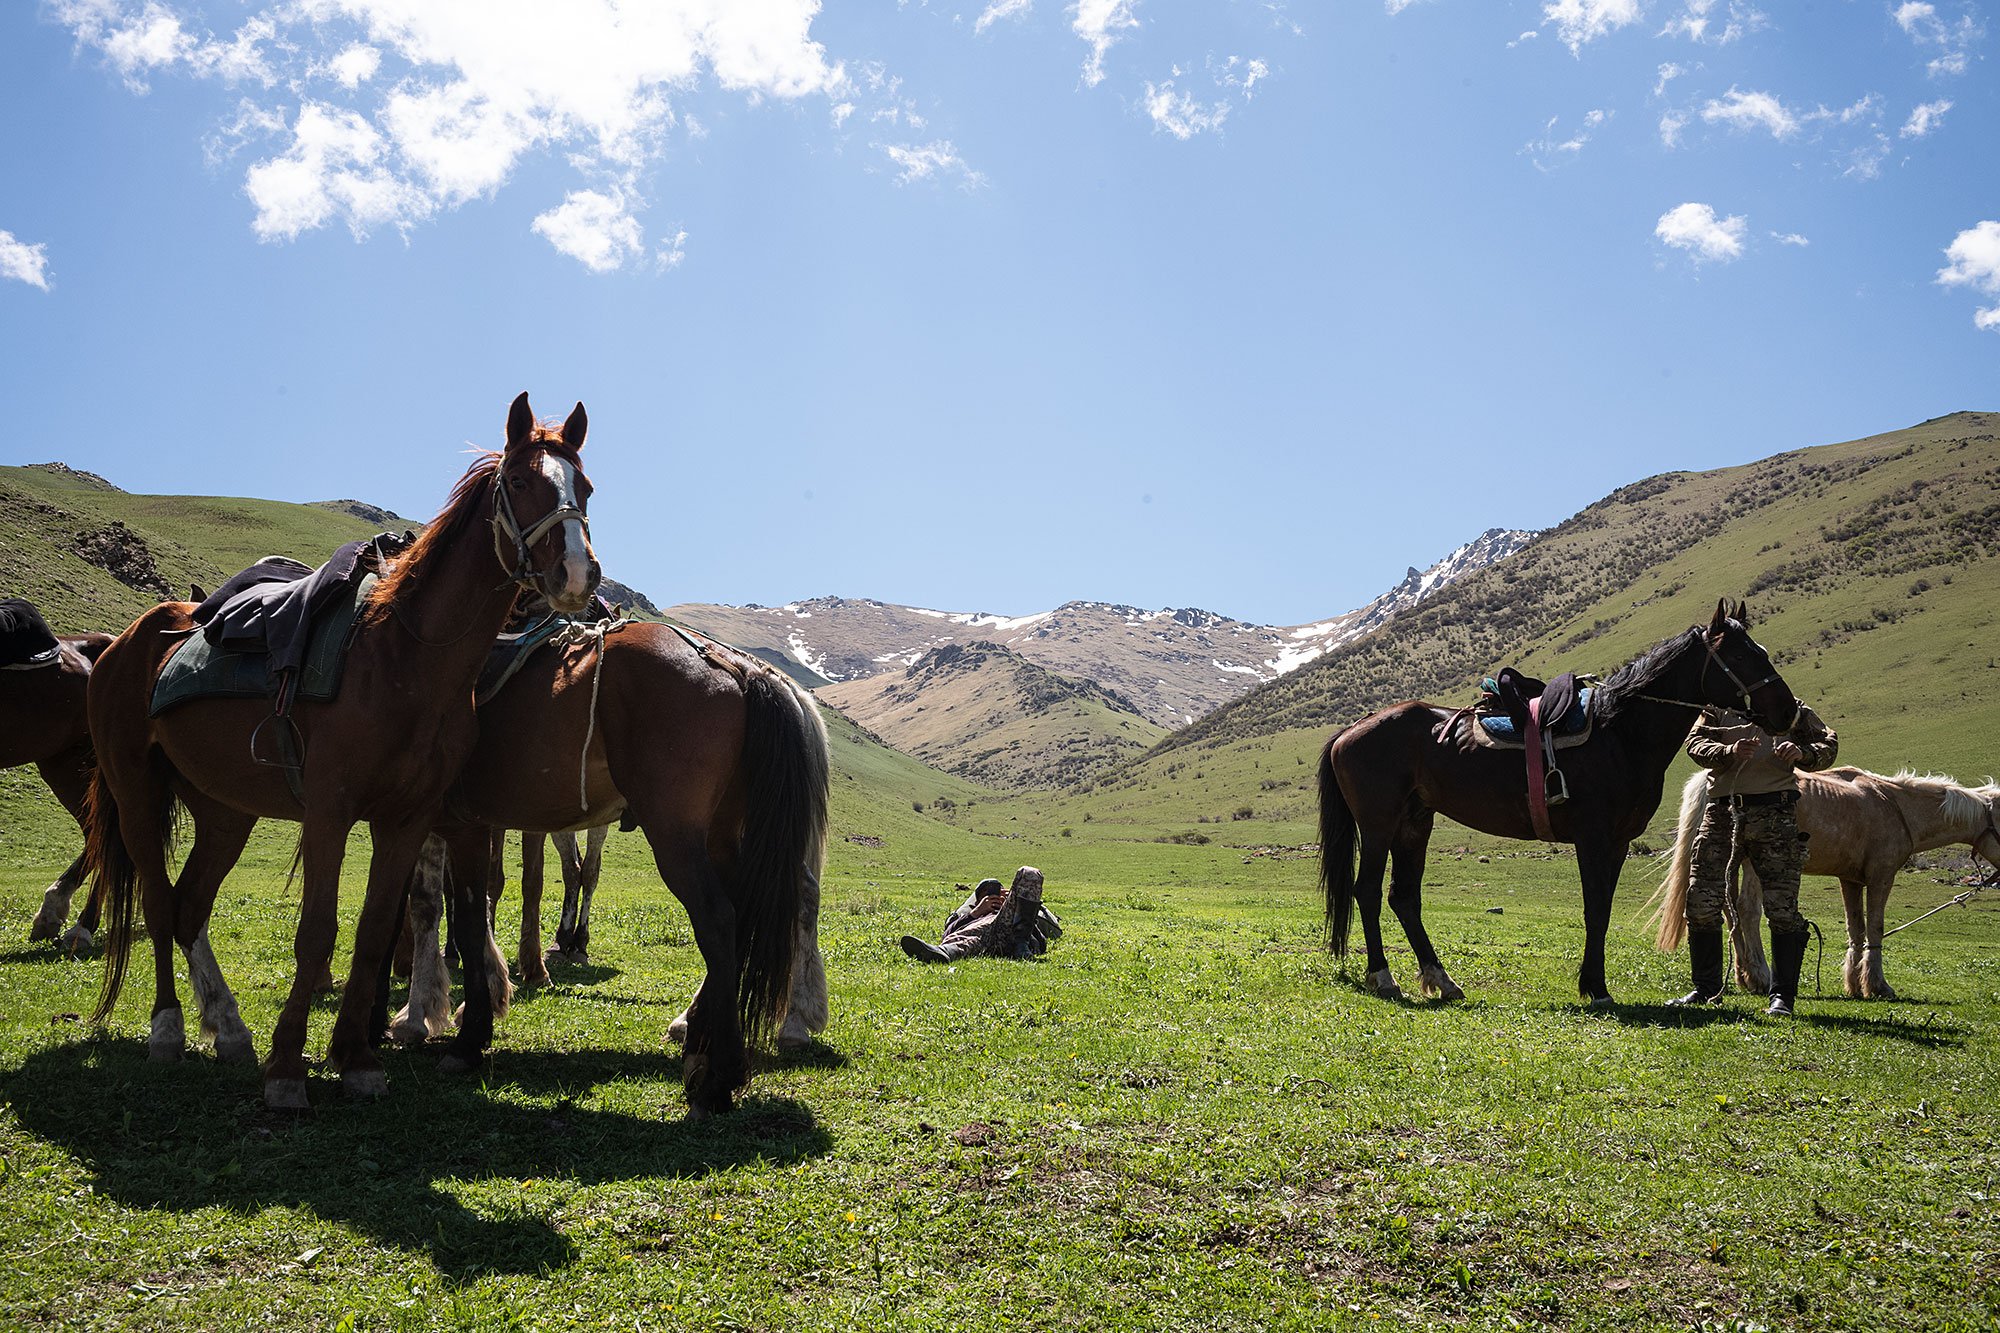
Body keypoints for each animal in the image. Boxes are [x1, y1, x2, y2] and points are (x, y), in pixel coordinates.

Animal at [84, 393, 599, 1110]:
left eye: (584, 487)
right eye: (521, 481)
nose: (578, 574)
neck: (404, 656)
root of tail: (126, 640)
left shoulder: (406, 819)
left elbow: (377, 926)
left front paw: (357, 1057)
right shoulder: (329, 812)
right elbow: (319, 932)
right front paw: (287, 1070)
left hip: (224, 810)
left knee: (190, 907)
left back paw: (229, 1027)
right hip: (136, 793)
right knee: (161, 907)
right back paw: (169, 1028)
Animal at [384, 620, 828, 1116]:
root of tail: (739, 669)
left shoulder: (435, 817)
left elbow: (435, 904)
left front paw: (421, 1013)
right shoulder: (481, 823)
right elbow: (478, 903)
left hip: (680, 832)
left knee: (725, 916)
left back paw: (732, 1063)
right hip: (730, 833)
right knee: (765, 907)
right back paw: (708, 1030)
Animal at [1319, 600, 1799, 1005]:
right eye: (1742, 657)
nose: (1788, 711)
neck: (1620, 733)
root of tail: (1351, 729)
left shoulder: (1618, 843)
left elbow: (1603, 910)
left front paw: (1594, 984)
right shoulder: (1592, 838)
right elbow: (1594, 910)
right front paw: (1597, 988)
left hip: (1415, 824)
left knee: (1404, 898)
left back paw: (1442, 980)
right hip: (1379, 824)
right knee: (1367, 891)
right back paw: (1383, 977)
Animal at [1652, 766, 2000, 999]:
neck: (1894, 805)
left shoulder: (1850, 880)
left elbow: (1856, 930)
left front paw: (1854, 984)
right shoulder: (1881, 877)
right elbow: (1875, 928)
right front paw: (1877, 985)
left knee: (1729, 911)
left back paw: (1745, 976)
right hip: (1755, 861)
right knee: (1747, 912)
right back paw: (1762, 977)